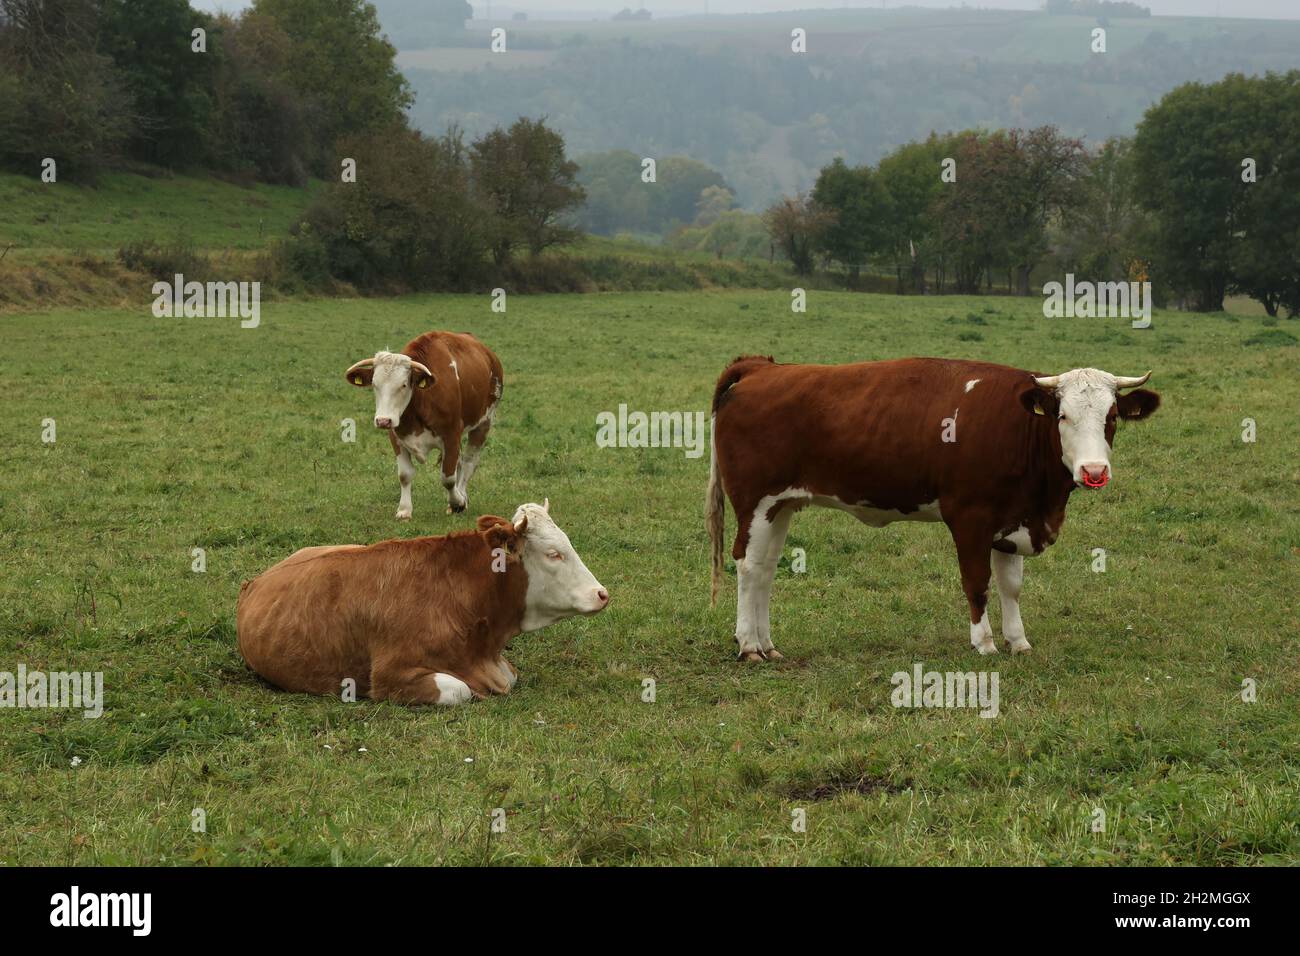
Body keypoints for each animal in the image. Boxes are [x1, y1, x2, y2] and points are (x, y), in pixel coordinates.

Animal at [345, 331, 503, 519]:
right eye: (375, 385)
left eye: (404, 384)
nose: (383, 420)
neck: (422, 401)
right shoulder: (397, 437)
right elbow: (405, 475)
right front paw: (404, 510)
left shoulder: (451, 435)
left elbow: (448, 478)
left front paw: (457, 502)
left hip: (484, 423)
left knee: (468, 463)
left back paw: (461, 496)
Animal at [706, 357, 1161, 660]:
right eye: (1062, 416)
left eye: (1112, 417)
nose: (1094, 471)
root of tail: (763, 367)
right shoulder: (970, 517)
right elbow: (976, 582)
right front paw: (985, 643)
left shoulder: (1012, 520)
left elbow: (1011, 586)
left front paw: (1018, 641)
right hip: (755, 502)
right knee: (748, 566)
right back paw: (749, 645)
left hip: (780, 505)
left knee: (766, 569)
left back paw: (767, 644)